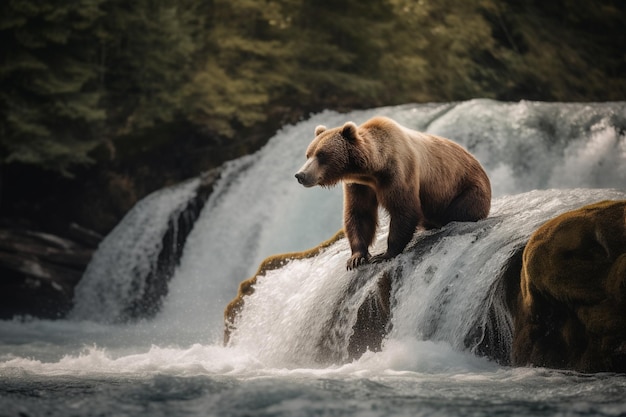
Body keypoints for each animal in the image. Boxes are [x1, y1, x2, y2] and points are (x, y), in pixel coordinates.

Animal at [294, 116, 490, 270]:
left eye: (321, 154)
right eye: (308, 154)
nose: (300, 175)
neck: (372, 170)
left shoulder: (398, 171)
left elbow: (403, 209)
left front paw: (384, 254)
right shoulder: (358, 185)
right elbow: (359, 213)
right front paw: (356, 257)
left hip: (465, 187)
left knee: (461, 209)